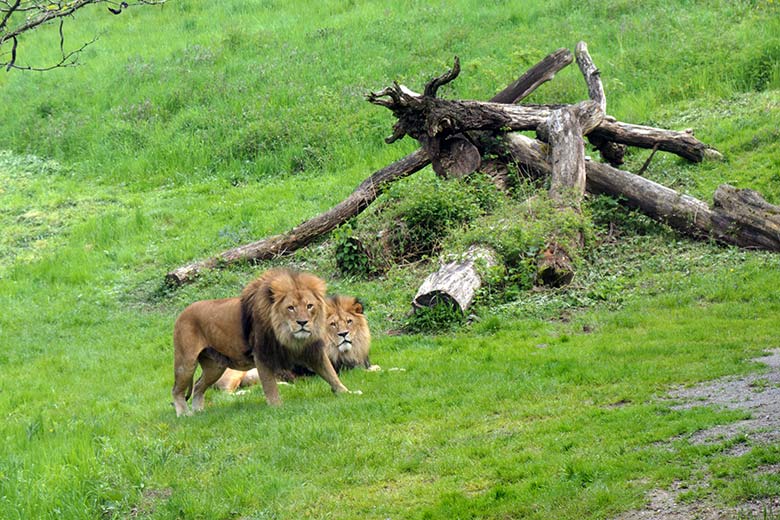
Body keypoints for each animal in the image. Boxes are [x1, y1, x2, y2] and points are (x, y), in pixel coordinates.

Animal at [175, 270, 352, 416]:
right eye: (291, 308)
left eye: (309, 306)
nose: (302, 322)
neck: (286, 334)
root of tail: (181, 313)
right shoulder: (262, 354)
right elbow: (269, 385)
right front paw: (277, 407)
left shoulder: (312, 350)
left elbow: (330, 373)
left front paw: (347, 393)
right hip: (186, 363)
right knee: (177, 390)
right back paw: (185, 414)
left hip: (215, 366)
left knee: (198, 386)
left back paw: (198, 411)